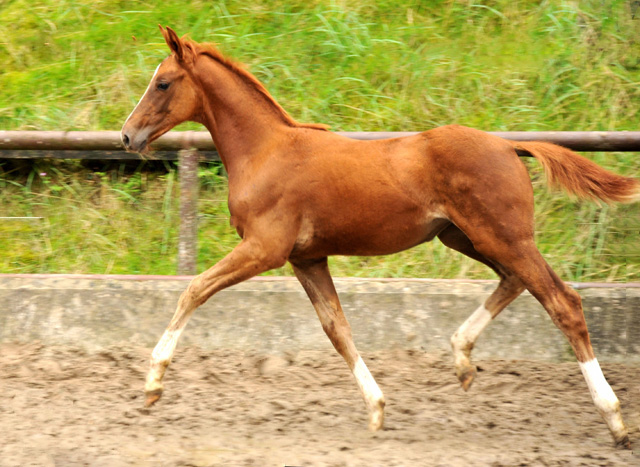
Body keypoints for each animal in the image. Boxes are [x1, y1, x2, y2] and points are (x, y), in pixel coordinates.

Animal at [120, 26, 636, 450]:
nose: (127, 136)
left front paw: (153, 384)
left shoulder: (264, 249)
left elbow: (194, 289)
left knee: (562, 301)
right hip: (466, 239)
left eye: (163, 82)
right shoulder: (308, 259)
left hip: (503, 237)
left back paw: (613, 419)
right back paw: (462, 359)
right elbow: (338, 330)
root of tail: (509, 144)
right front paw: (377, 408)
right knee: (515, 282)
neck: (265, 151)